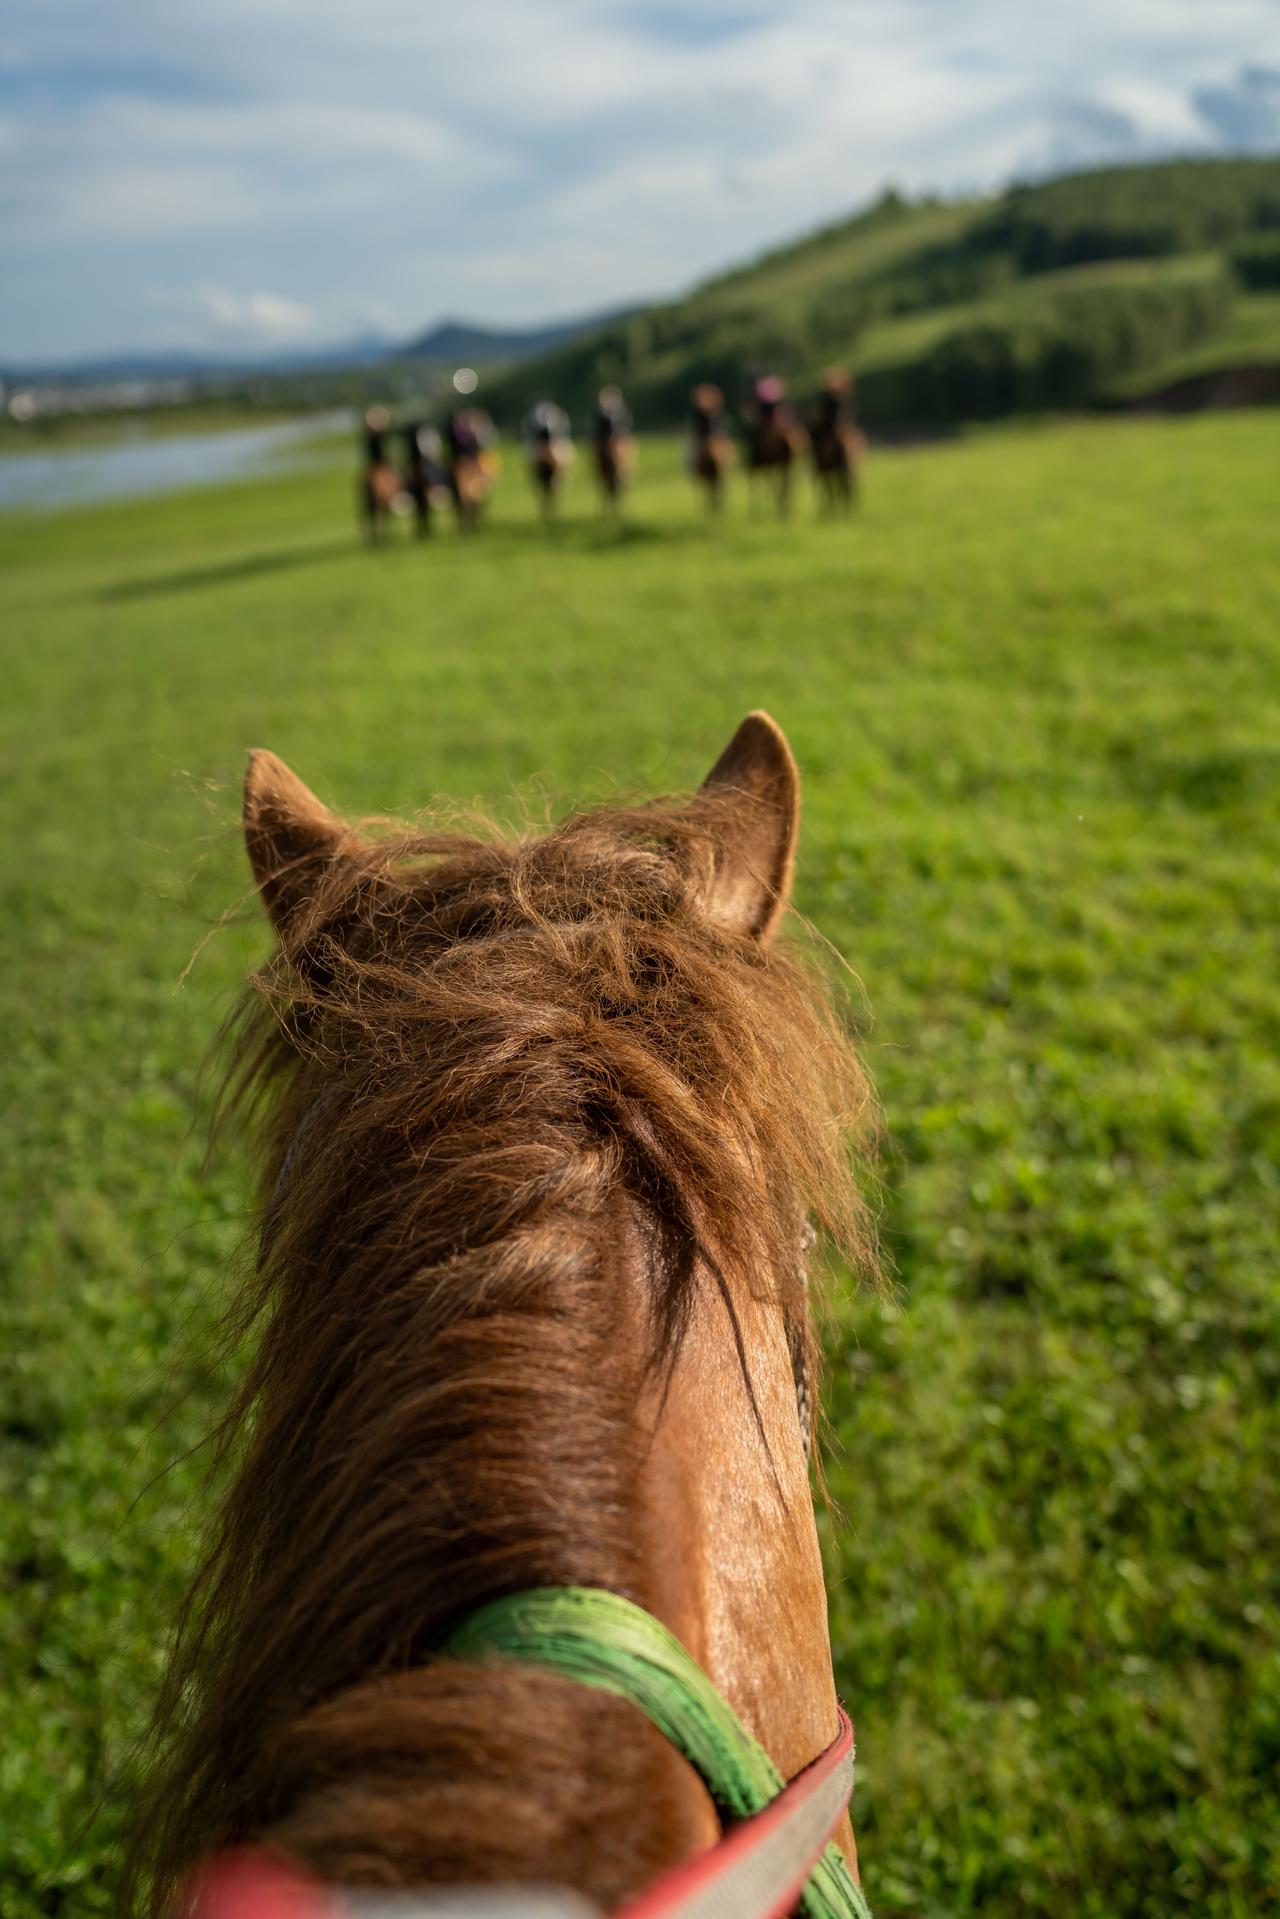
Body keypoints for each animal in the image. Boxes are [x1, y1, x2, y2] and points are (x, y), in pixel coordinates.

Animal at [685, 383, 734, 514]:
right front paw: (709, 510)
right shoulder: (703, 474)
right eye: (697, 414)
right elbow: (707, 491)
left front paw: (718, 509)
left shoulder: (719, 472)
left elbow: (717, 489)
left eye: (714, 413)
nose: (709, 429)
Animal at [808, 372, 865, 515]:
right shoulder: (822, 466)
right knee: (835, 487)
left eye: (844, 400)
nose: (837, 425)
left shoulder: (843, 465)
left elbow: (842, 488)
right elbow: (828, 489)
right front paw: (826, 512)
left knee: (847, 486)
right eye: (829, 400)